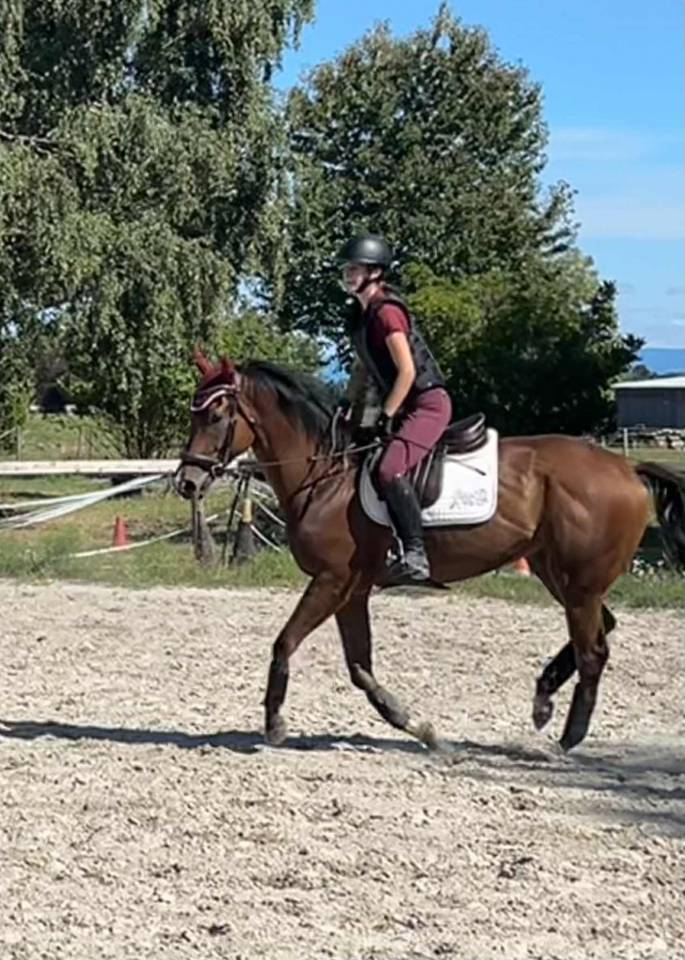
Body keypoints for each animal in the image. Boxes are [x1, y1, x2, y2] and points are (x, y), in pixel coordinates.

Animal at [178, 353, 685, 752]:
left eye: (216, 416)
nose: (186, 482)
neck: (326, 477)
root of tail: (627, 467)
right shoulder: (352, 590)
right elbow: (360, 668)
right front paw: (417, 726)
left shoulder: (331, 580)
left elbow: (285, 642)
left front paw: (275, 723)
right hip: (560, 573)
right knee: (602, 630)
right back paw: (543, 701)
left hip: (579, 583)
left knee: (593, 651)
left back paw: (566, 740)